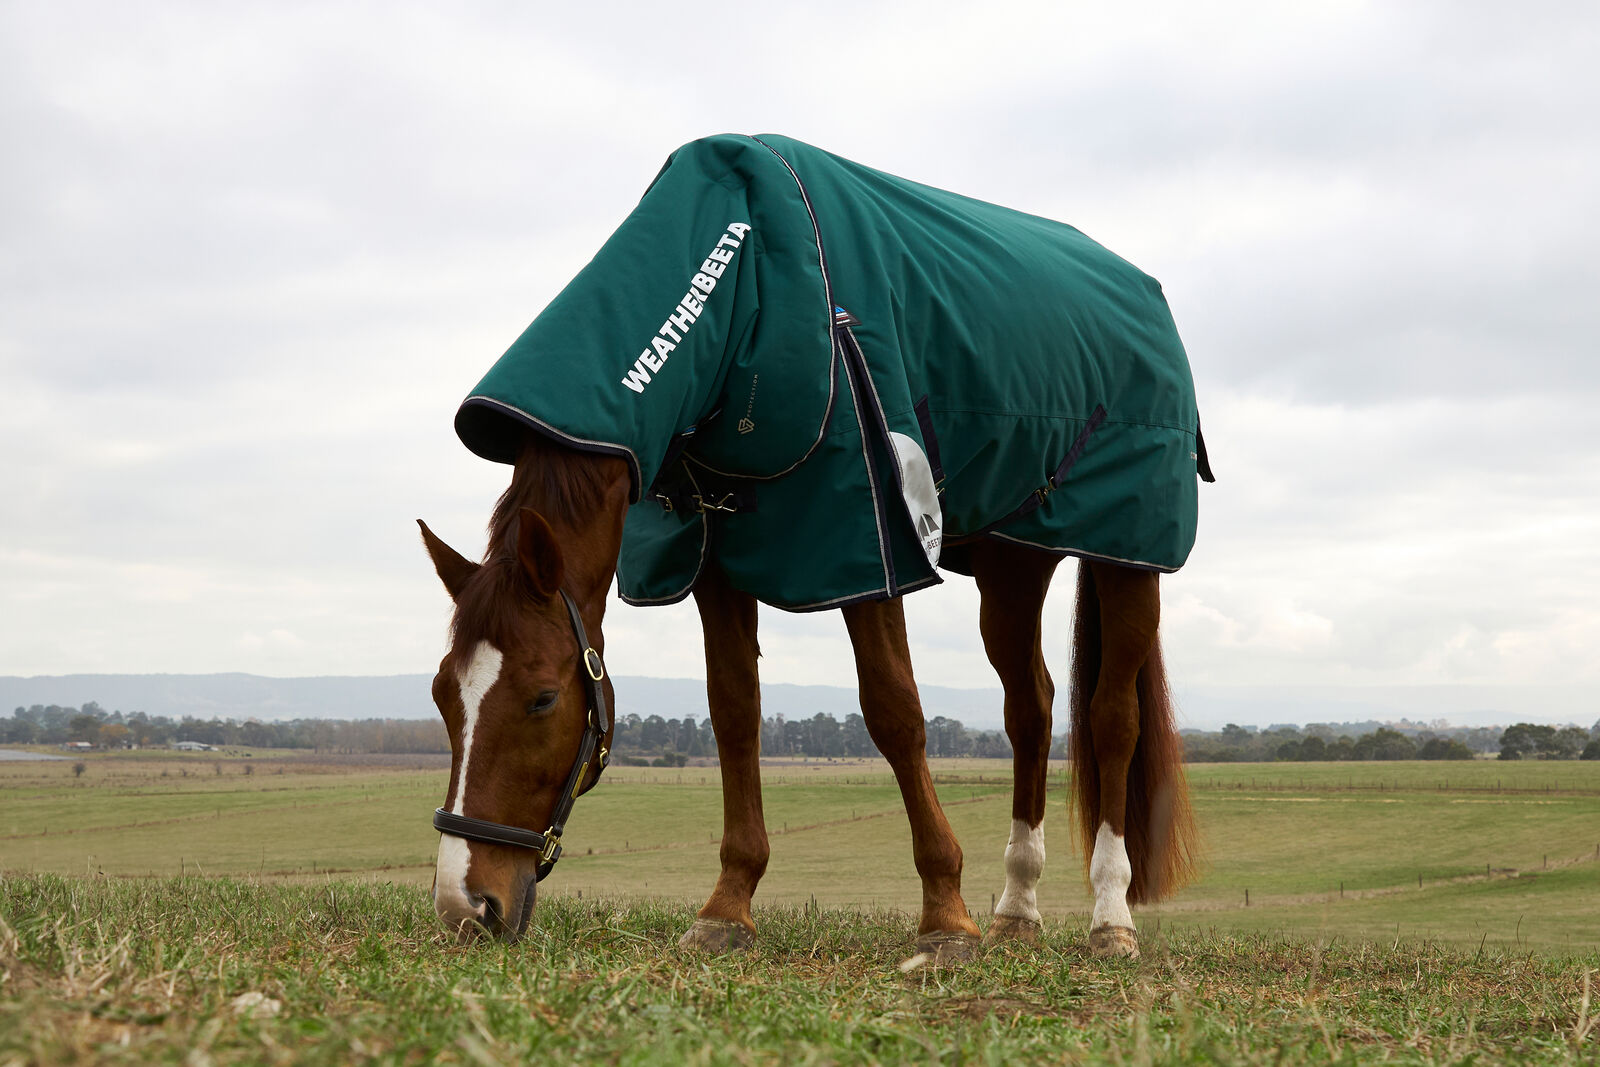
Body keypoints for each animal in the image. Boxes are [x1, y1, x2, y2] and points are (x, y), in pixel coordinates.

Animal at [419, 134, 1205, 961]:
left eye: (542, 697)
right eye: (442, 693)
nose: (465, 905)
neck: (746, 285)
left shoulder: (865, 544)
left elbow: (895, 711)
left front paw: (944, 915)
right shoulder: (712, 559)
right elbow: (734, 712)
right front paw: (728, 905)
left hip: (1127, 555)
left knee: (1112, 718)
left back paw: (1110, 917)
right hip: (1013, 563)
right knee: (1032, 709)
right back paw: (1017, 908)